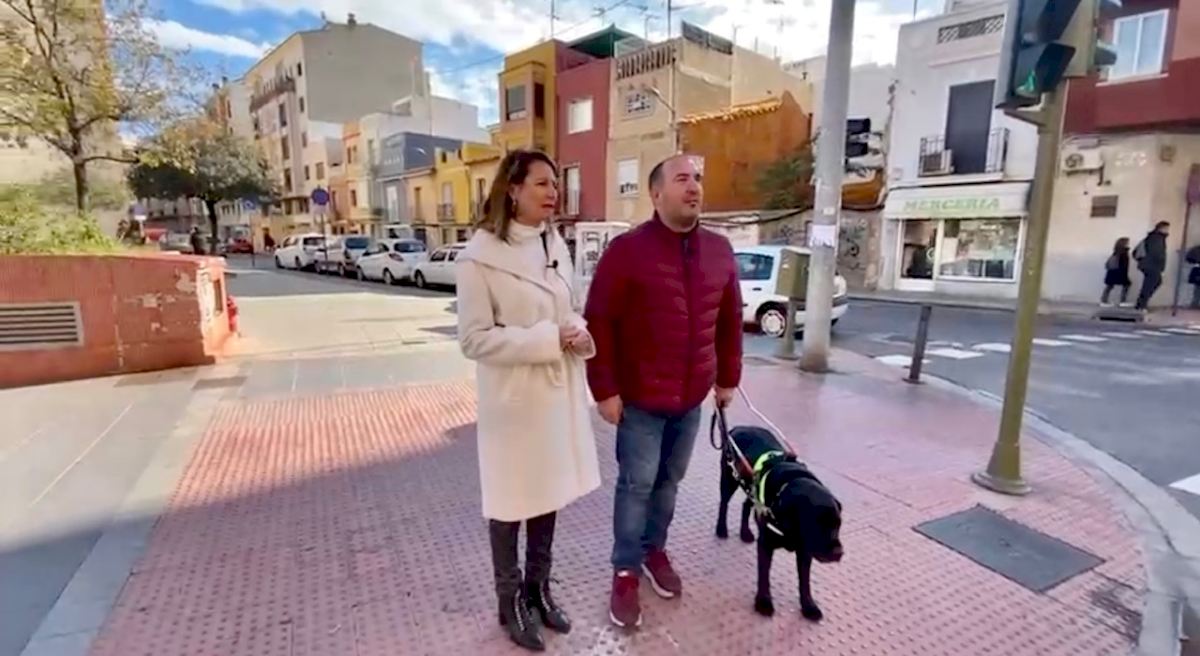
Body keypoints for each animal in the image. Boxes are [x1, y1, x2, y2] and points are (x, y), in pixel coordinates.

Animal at [715, 423, 843, 621]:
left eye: (838, 525)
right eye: (815, 525)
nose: (839, 553)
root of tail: (739, 427)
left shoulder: (804, 551)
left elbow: (804, 581)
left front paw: (808, 606)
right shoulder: (766, 544)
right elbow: (764, 576)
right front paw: (763, 602)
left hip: (751, 489)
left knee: (746, 505)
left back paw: (745, 533)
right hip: (730, 477)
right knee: (724, 502)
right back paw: (721, 529)